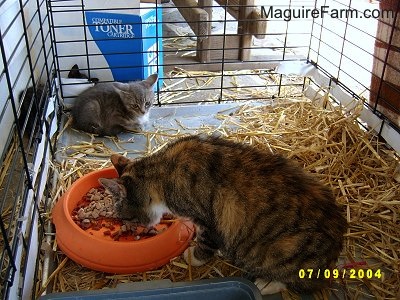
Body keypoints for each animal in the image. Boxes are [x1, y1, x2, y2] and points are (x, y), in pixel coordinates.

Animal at [99, 135, 346, 294]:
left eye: (126, 218)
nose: (133, 229)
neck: (163, 172)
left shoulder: (207, 220)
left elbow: (205, 242)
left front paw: (194, 256)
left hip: (282, 250)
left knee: (294, 280)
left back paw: (266, 284)